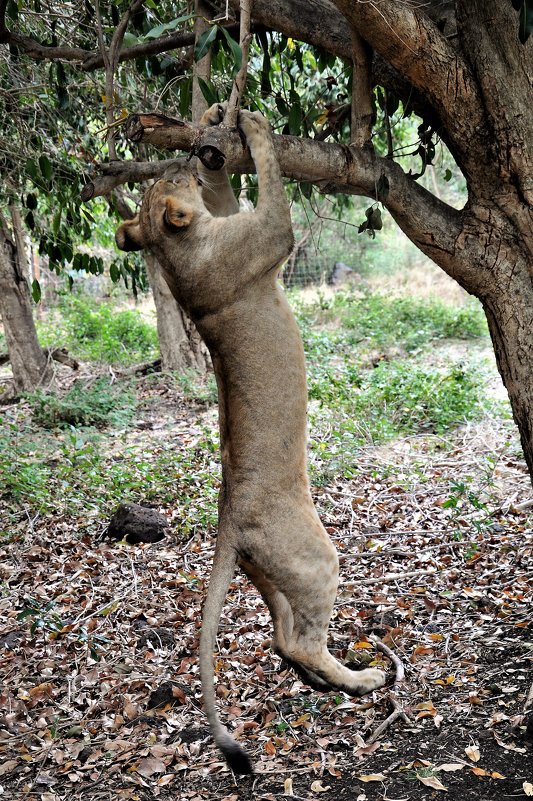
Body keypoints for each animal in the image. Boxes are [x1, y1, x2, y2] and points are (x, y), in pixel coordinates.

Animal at [114, 103, 384, 772]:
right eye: (167, 179)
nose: (183, 159)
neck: (180, 255)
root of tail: (228, 518)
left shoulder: (231, 219)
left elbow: (228, 188)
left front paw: (214, 118)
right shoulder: (267, 235)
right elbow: (271, 183)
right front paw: (255, 127)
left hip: (270, 573)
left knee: (284, 640)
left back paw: (328, 680)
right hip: (313, 557)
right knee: (302, 639)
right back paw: (362, 679)